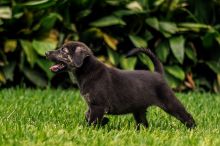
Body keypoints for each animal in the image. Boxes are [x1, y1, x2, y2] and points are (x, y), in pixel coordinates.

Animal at [45, 40, 197, 129]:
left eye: (63, 51)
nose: (46, 52)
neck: (87, 70)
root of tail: (158, 73)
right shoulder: (91, 105)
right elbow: (87, 115)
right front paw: (104, 122)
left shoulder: (98, 105)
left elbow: (92, 121)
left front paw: (90, 130)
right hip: (139, 109)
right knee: (144, 123)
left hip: (169, 102)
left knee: (186, 115)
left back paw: (192, 129)